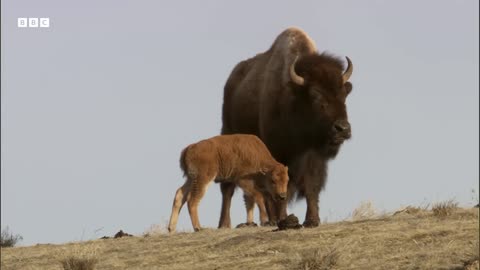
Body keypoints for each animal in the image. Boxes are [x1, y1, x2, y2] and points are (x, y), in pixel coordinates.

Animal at [218, 28, 352, 228]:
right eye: (315, 95)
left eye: (344, 94)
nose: (342, 128)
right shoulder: (279, 155)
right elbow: (282, 188)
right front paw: (285, 219)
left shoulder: (314, 158)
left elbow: (311, 186)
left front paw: (312, 220)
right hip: (228, 134)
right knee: (228, 188)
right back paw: (225, 224)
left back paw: (271, 220)